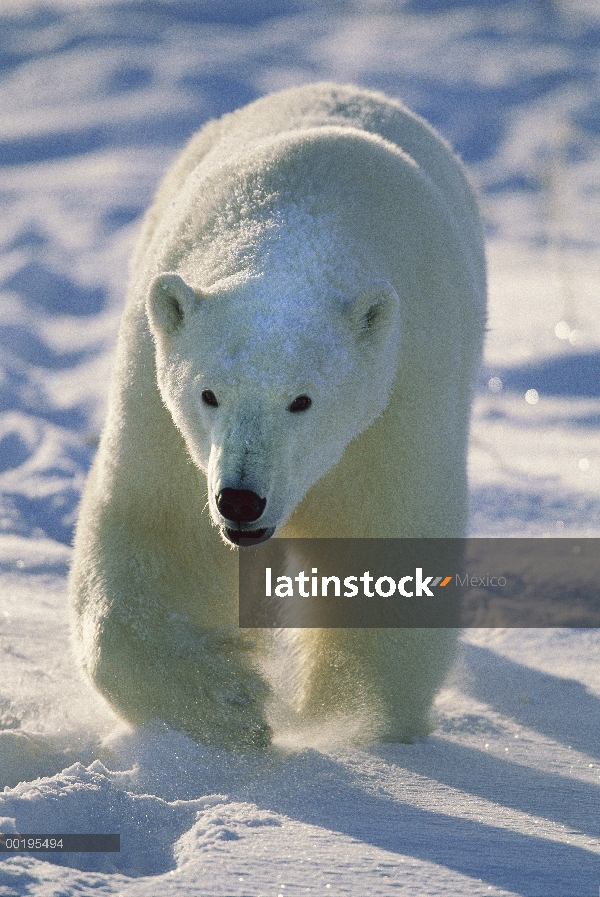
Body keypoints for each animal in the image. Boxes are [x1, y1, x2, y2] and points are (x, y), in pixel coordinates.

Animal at [68, 84, 486, 744]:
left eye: (302, 400)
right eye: (209, 393)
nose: (241, 500)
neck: (294, 226)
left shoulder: (396, 406)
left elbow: (381, 546)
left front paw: (350, 720)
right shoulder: (162, 420)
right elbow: (162, 538)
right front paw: (229, 704)